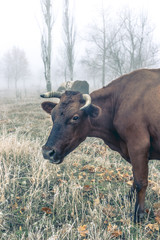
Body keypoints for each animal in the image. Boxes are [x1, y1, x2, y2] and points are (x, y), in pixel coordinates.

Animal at [40, 69, 160, 223]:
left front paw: (138, 214)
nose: (47, 152)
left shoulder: (138, 145)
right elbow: (134, 178)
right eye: (53, 115)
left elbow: (140, 181)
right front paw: (128, 199)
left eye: (75, 117)